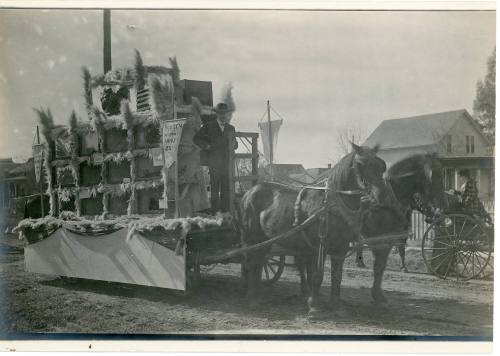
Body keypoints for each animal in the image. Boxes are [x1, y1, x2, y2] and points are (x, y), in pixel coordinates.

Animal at [238, 143, 402, 312]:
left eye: (382, 165)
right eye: (360, 164)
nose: (382, 195)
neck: (332, 204)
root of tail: (249, 192)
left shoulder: (340, 248)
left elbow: (337, 276)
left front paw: (336, 305)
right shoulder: (319, 246)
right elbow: (317, 275)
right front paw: (313, 305)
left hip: (264, 241)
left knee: (259, 263)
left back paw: (257, 294)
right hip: (252, 238)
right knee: (251, 263)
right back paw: (251, 298)